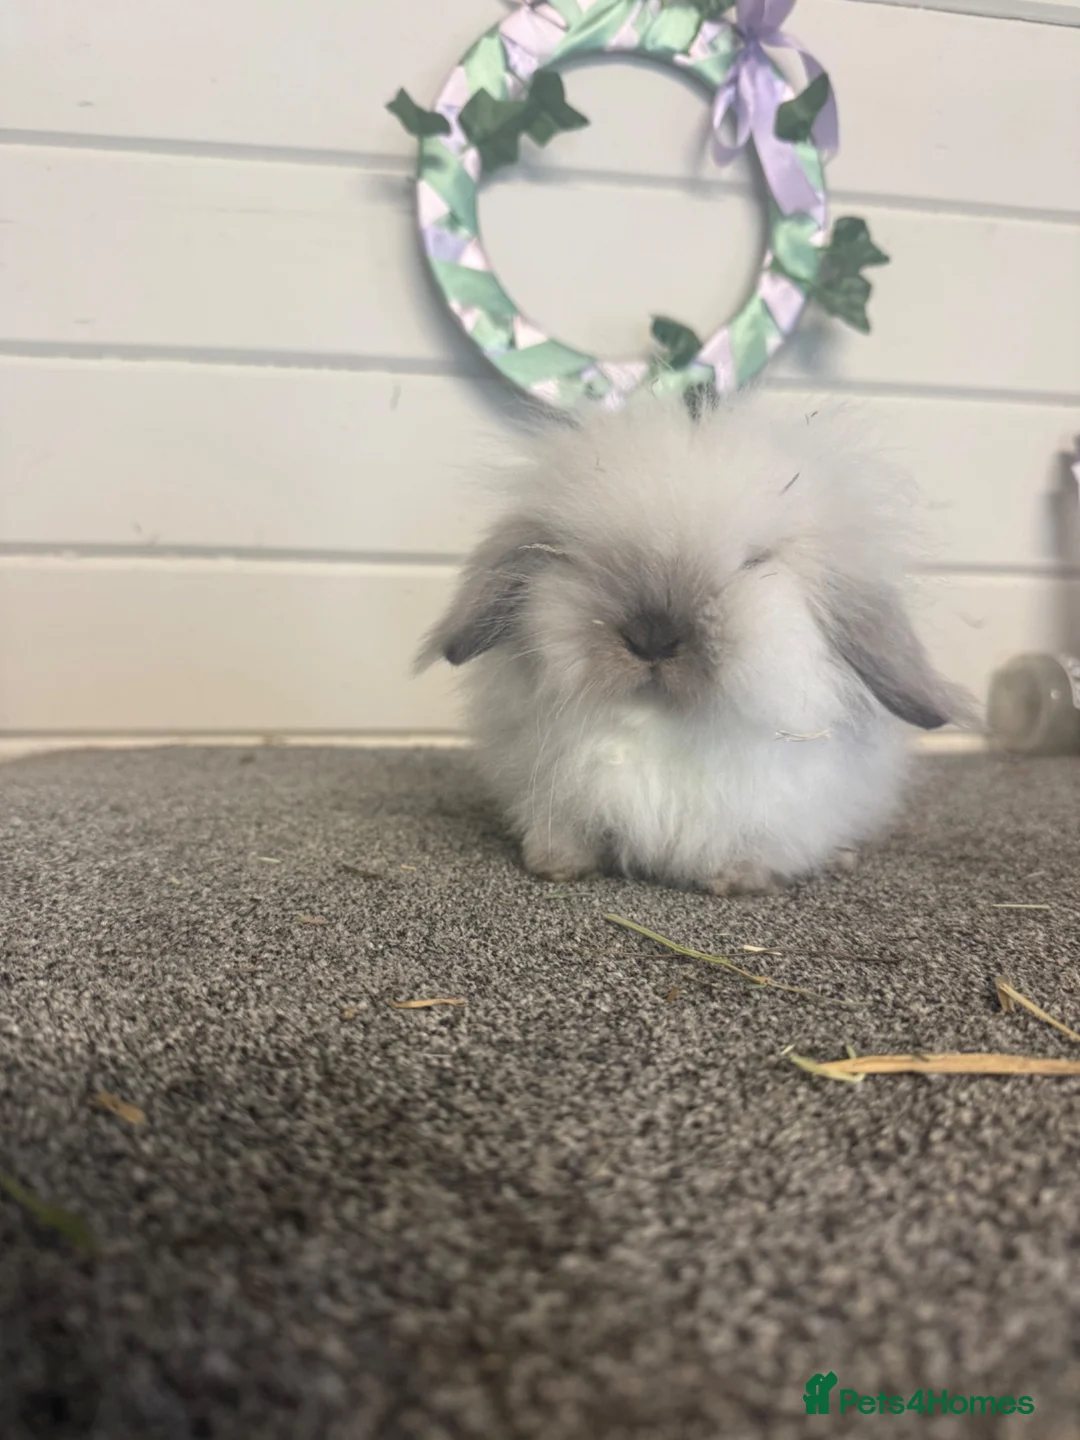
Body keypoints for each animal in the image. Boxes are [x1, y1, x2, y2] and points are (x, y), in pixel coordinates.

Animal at [416, 388, 974, 895]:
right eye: (578, 557)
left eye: (755, 562)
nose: (652, 636)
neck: (663, 722)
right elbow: (569, 835)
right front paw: (555, 866)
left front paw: (733, 881)